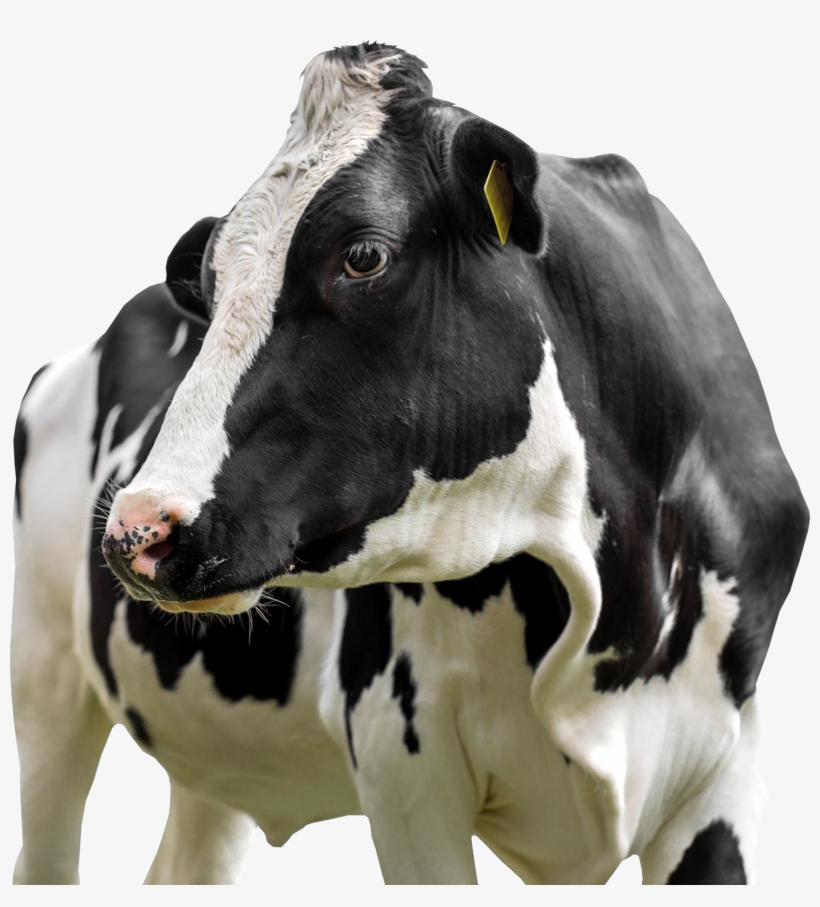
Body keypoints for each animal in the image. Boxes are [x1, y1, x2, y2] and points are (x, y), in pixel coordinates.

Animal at [15, 41, 809, 885]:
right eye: (211, 279)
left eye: (364, 255)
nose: (140, 528)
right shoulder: (403, 758)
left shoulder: (728, 774)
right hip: (44, 676)